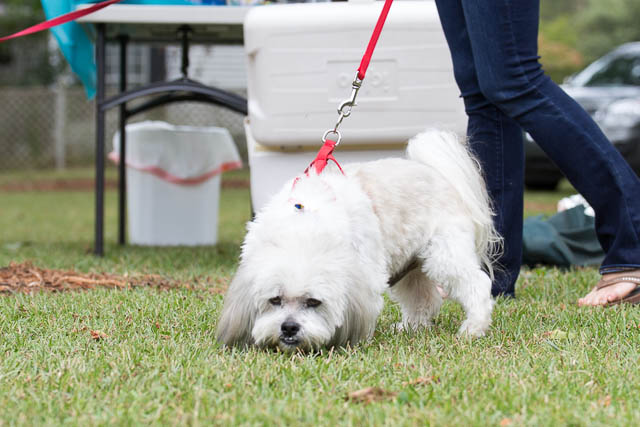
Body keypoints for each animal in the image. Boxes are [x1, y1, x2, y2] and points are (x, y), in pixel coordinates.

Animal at [218, 130, 502, 352]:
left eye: (314, 303)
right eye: (274, 300)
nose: (289, 328)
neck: (302, 229)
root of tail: (441, 175)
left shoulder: (363, 276)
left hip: (445, 254)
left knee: (477, 284)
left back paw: (473, 327)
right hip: (412, 267)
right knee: (425, 297)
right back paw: (410, 327)